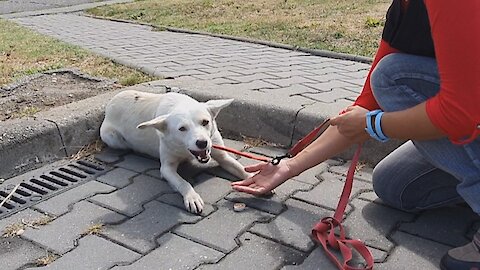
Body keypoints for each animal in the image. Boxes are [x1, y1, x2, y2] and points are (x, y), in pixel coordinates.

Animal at [100, 90, 251, 213]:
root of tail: (112, 101)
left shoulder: (222, 156)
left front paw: (252, 178)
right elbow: (182, 183)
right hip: (111, 138)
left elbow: (241, 168)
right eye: (182, 128)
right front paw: (192, 197)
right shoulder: (166, 168)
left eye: (205, 122)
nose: (202, 143)